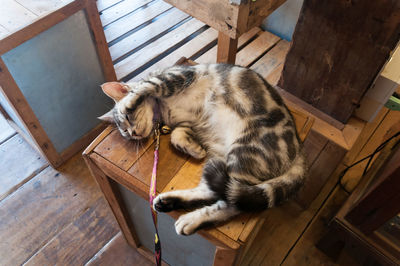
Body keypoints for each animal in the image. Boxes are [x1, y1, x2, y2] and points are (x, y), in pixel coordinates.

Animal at [100, 63, 306, 236]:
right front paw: (194, 149)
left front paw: (128, 101)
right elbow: (176, 136)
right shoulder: (188, 124)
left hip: (244, 151)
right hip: (222, 157)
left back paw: (191, 218)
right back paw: (171, 203)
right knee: (215, 192)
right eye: (125, 133)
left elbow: (145, 87)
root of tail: (299, 152)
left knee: (232, 203)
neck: (164, 112)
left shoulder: (176, 77)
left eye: (128, 119)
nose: (133, 133)